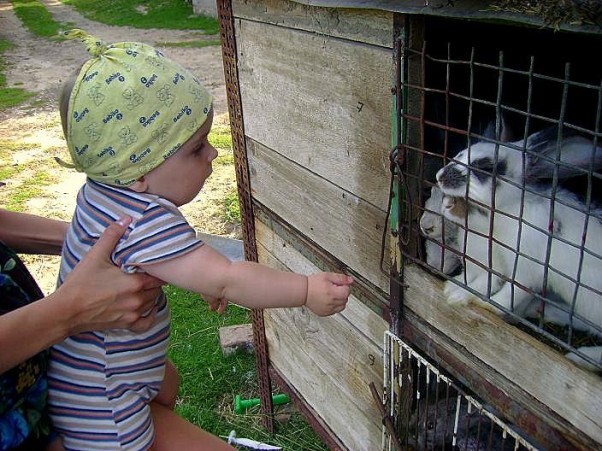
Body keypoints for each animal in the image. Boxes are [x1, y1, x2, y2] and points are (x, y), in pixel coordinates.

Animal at [436, 127, 600, 370]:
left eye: (486, 168)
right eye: (459, 153)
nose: (440, 176)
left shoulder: (521, 269)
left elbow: (507, 291)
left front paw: (474, 301)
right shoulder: (477, 264)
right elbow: (468, 278)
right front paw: (453, 287)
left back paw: (581, 357)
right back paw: (543, 311)